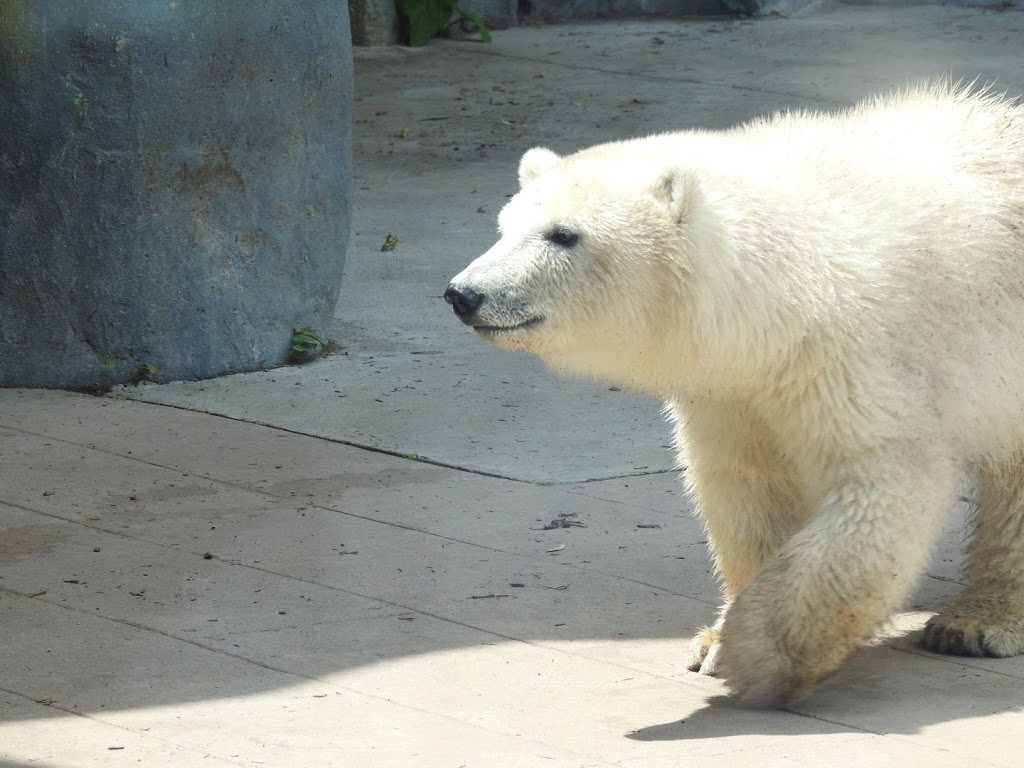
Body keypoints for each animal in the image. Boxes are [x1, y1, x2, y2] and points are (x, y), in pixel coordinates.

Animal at [444, 82, 1024, 704]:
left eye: (564, 234)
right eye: (505, 226)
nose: (464, 294)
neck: (788, 287)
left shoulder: (859, 353)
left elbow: (883, 482)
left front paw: (755, 652)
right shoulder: (732, 388)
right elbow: (749, 489)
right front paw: (714, 639)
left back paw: (977, 623)